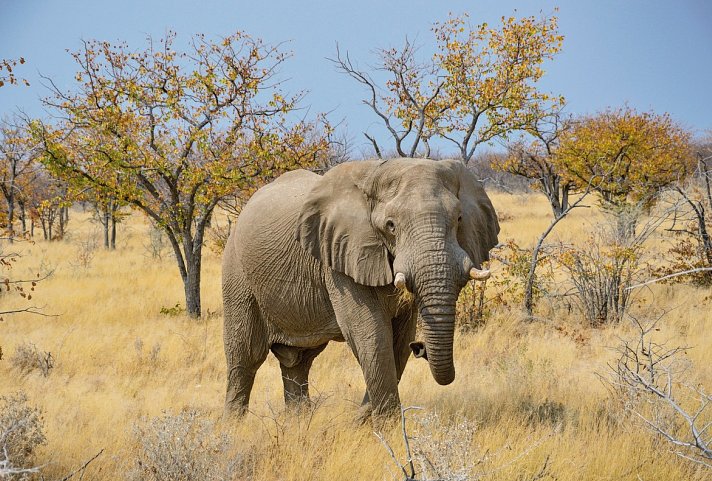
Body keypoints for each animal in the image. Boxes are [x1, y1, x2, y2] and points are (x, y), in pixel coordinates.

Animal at [222, 157, 500, 416]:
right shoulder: (341, 256)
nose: (420, 348)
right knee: (245, 357)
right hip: (237, 272)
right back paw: (233, 425)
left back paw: (298, 422)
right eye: (391, 225)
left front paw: (368, 418)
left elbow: (400, 340)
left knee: (298, 361)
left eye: (459, 219)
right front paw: (385, 425)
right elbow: (372, 334)